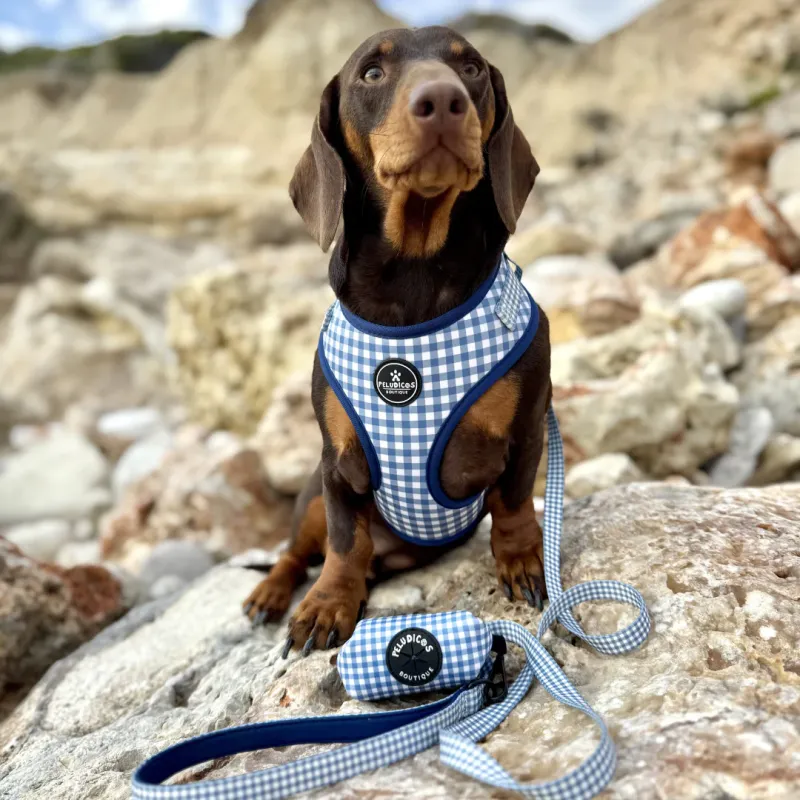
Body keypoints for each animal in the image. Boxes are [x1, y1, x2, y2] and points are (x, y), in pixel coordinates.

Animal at [244, 26, 550, 656]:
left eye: (471, 67)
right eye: (372, 73)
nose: (443, 100)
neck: (415, 282)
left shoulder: (528, 427)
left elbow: (513, 503)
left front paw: (519, 560)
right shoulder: (337, 464)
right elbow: (344, 542)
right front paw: (329, 602)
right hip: (310, 498)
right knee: (298, 552)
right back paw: (276, 590)